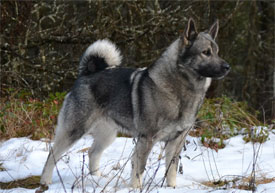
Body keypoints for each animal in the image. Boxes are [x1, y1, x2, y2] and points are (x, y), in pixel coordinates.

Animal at [36, 18, 231, 191]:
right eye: (206, 52)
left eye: (217, 51)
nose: (227, 67)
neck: (181, 88)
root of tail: (87, 73)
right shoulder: (146, 139)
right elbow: (139, 169)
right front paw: (136, 188)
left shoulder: (176, 141)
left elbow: (171, 169)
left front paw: (172, 187)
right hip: (74, 130)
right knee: (52, 154)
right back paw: (45, 182)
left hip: (107, 134)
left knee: (93, 153)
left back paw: (96, 180)